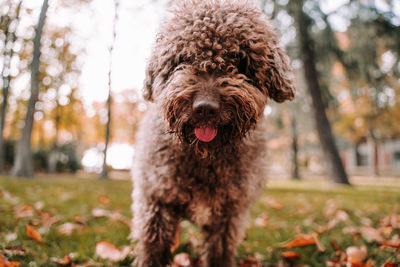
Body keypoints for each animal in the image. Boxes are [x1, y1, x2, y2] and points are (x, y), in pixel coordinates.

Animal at [131, 1, 294, 266]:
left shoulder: (228, 215)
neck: (205, 156)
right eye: (184, 59)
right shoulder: (157, 202)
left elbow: (219, 253)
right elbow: (152, 251)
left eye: (239, 60)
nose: (205, 108)